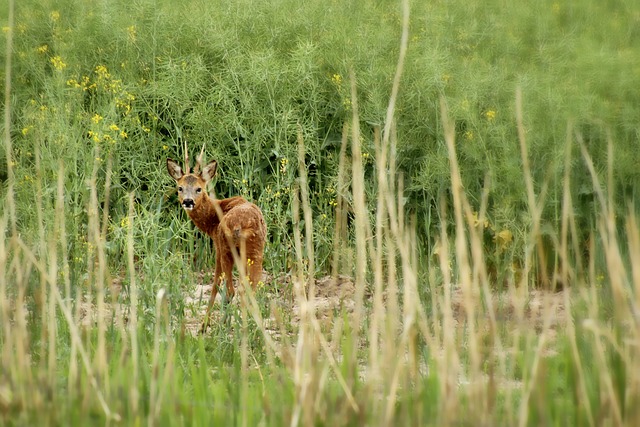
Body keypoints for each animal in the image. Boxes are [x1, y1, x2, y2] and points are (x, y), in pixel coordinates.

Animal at [166, 145, 266, 332]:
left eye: (199, 188)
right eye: (180, 188)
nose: (188, 201)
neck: (214, 217)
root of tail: (241, 226)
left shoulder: (218, 247)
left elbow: (215, 285)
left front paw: (204, 326)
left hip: (227, 249)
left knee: (231, 290)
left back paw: (225, 327)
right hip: (256, 251)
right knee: (250, 288)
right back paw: (251, 326)